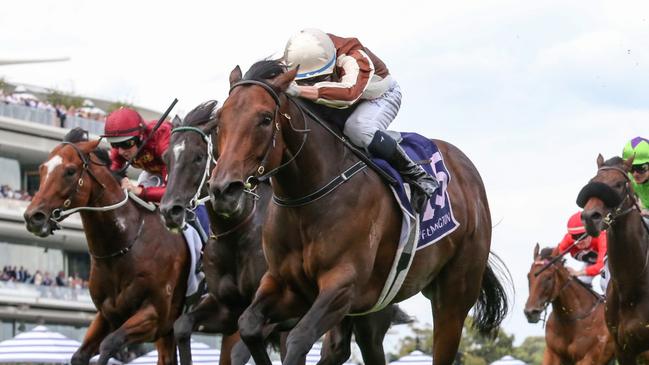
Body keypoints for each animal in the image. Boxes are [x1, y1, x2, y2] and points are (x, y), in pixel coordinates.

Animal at [23, 141, 190, 364]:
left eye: (70, 171)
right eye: (41, 170)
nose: (33, 217)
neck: (124, 247)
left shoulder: (154, 315)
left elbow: (110, 344)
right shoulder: (107, 315)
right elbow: (80, 355)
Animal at [160, 100, 416, 364]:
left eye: (198, 157)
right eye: (166, 158)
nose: (170, 210)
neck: (237, 234)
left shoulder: (282, 315)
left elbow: (239, 351)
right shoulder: (228, 308)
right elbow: (183, 325)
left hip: (368, 313)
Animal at [208, 60, 512, 364]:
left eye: (265, 118)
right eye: (219, 120)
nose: (224, 189)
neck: (306, 198)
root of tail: (468, 173)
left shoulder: (343, 284)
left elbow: (297, 339)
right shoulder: (286, 286)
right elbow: (247, 326)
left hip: (452, 297)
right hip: (372, 309)